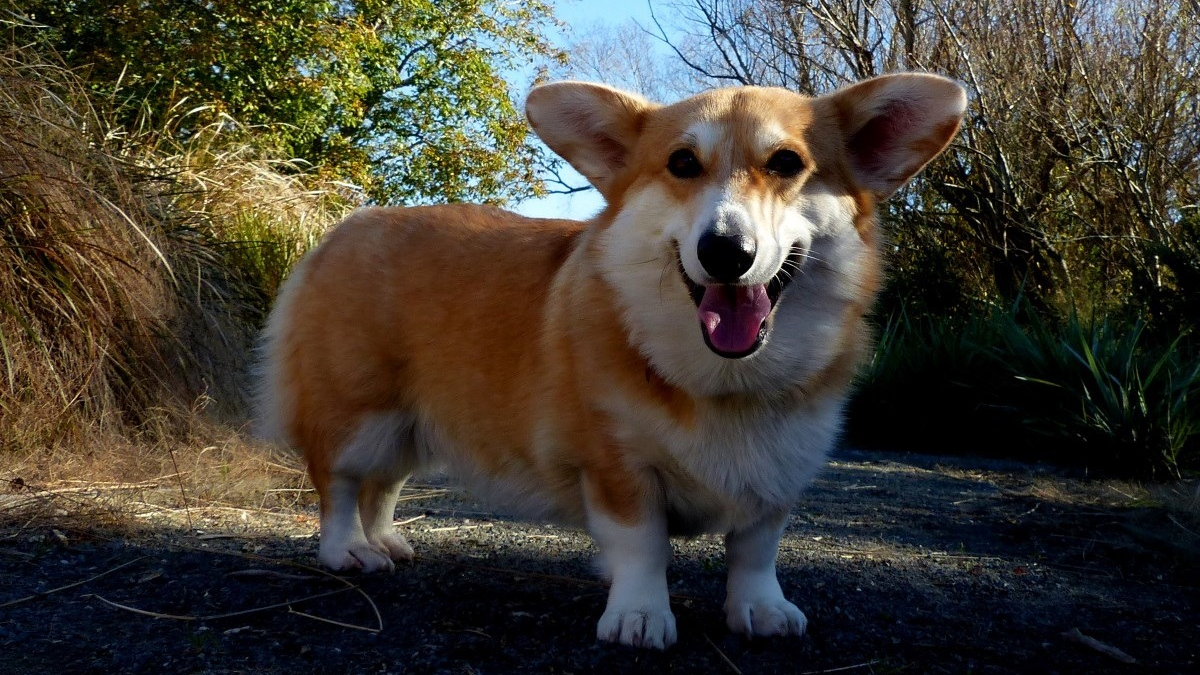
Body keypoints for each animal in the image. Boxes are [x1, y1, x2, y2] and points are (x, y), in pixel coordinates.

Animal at [255, 72, 964, 648]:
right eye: (682, 163)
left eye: (787, 162)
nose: (724, 251)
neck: (724, 381)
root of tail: (345, 226)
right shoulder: (618, 465)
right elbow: (642, 546)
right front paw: (640, 618)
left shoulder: (778, 468)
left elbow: (756, 549)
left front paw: (762, 610)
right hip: (359, 414)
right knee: (339, 485)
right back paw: (349, 551)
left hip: (411, 426)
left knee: (383, 486)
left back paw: (383, 540)